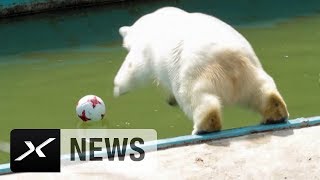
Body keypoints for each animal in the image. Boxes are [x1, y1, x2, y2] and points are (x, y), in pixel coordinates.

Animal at [114, 7, 288, 134]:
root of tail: (230, 60)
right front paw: (170, 99)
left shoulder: (144, 49)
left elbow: (134, 68)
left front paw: (117, 88)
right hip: (251, 72)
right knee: (262, 89)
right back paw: (275, 110)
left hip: (196, 73)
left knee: (196, 98)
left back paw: (204, 126)